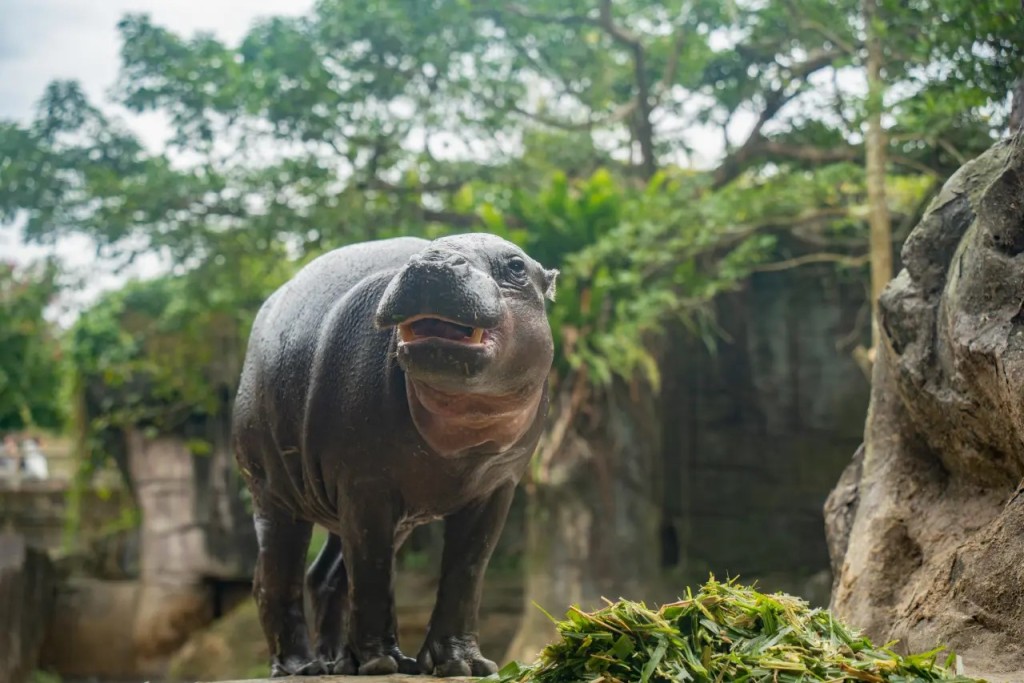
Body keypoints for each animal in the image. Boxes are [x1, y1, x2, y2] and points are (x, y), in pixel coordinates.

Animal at [231, 232, 557, 675]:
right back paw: (303, 667)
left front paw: (463, 666)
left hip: (372, 511)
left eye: (517, 266)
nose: (433, 262)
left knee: (326, 577)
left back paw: (338, 665)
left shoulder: (497, 486)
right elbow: (372, 571)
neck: (466, 430)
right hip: (272, 490)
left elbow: (466, 571)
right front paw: (383, 663)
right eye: (424, 250)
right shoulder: (366, 483)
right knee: (275, 575)